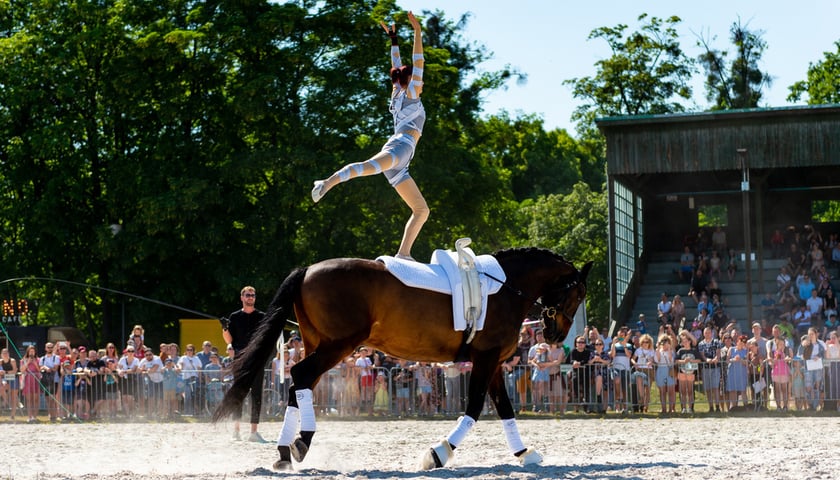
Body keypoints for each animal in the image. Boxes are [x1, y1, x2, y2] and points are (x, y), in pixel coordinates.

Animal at [215, 249, 592, 470]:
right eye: (577, 294)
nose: (555, 335)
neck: (505, 287)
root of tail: (308, 270)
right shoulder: (485, 359)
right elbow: (473, 408)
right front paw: (438, 453)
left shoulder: (494, 361)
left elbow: (504, 408)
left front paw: (524, 453)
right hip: (339, 345)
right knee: (300, 375)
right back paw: (301, 442)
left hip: (318, 343)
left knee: (297, 385)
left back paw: (284, 452)